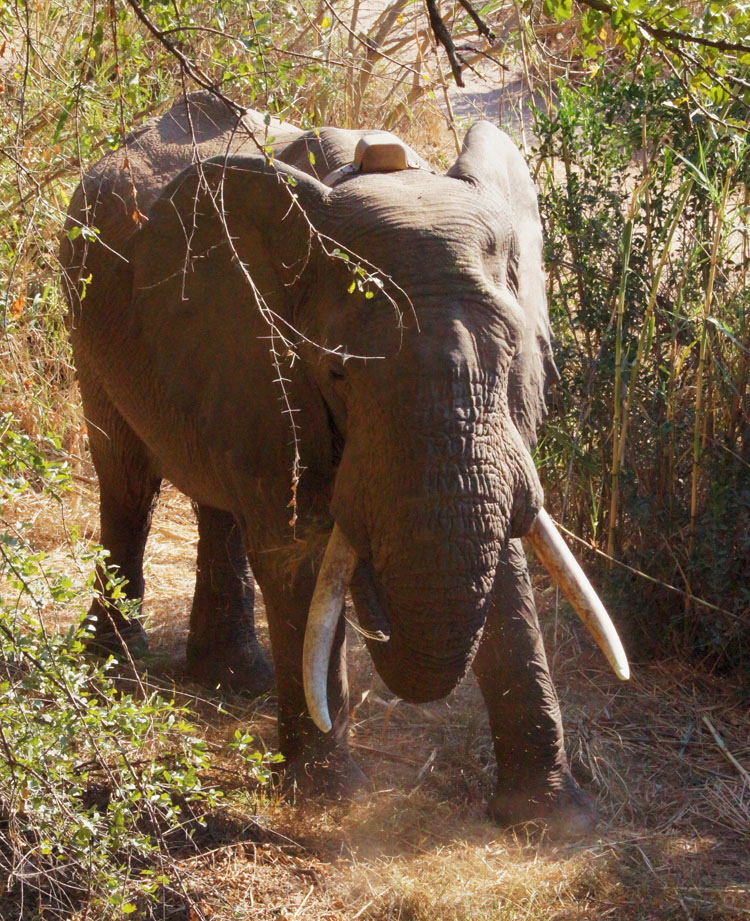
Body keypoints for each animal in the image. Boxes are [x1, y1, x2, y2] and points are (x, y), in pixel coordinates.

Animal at [61, 92, 628, 837]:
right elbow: (298, 550)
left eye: (513, 356)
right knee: (128, 484)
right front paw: (332, 801)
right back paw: (114, 670)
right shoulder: (266, 351)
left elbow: (505, 558)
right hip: (85, 316)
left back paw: (235, 680)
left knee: (219, 502)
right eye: (336, 372)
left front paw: (554, 822)